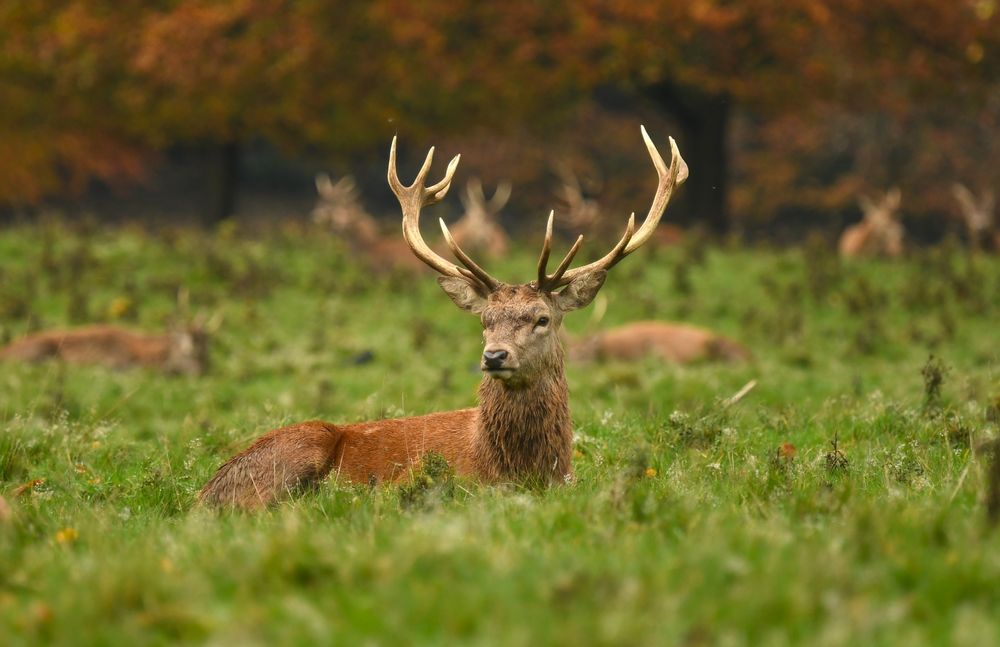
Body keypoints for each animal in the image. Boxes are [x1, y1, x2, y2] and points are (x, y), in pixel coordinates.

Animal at [198, 126, 688, 509]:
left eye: (541, 318)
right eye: (485, 320)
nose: (494, 356)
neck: (513, 466)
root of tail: (204, 494)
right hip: (296, 449)